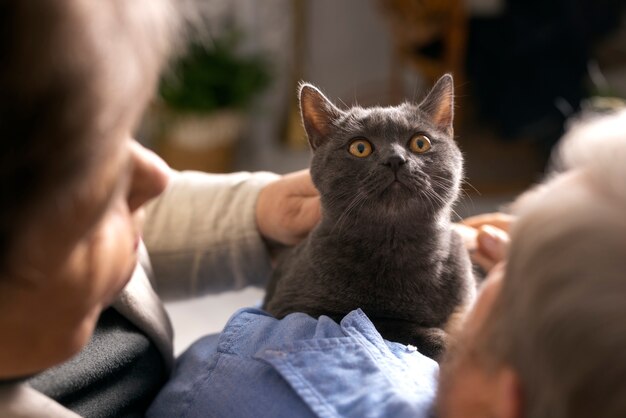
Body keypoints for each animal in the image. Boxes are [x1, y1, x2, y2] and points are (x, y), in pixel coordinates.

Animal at [264, 74, 472, 360]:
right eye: (359, 147)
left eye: (420, 143)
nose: (395, 159)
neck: (397, 247)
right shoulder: (291, 308)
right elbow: (378, 321)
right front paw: (444, 342)